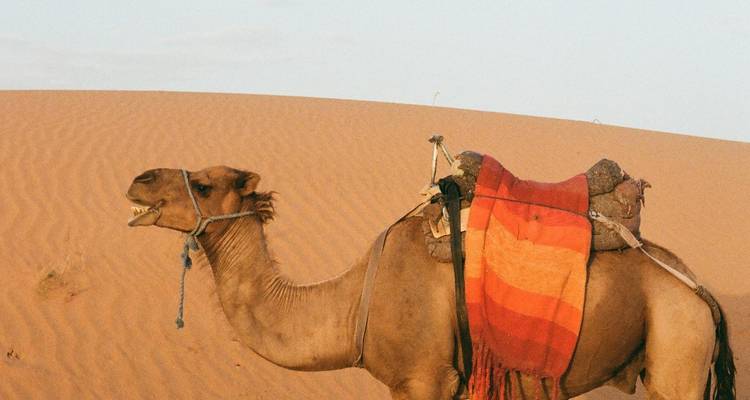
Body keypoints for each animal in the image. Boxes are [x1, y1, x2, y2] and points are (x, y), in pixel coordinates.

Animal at [126, 165, 735, 400]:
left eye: (205, 186)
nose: (139, 180)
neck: (354, 303)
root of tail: (700, 292)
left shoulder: (424, 379)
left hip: (678, 348)